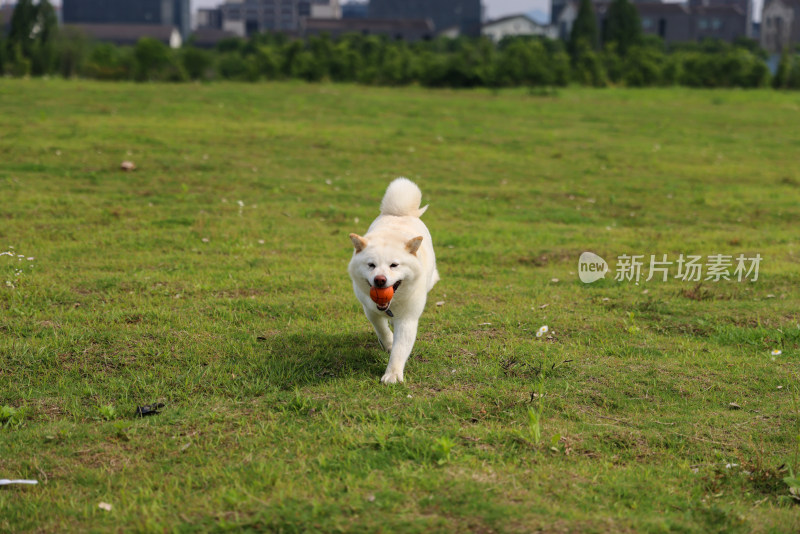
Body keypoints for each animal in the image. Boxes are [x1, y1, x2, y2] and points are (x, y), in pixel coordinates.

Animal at [348, 180, 440, 386]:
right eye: (371, 265)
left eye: (394, 265)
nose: (380, 279)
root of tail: (399, 213)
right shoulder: (370, 310)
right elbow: (382, 330)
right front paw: (388, 342)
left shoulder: (408, 319)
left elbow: (400, 349)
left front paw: (393, 374)